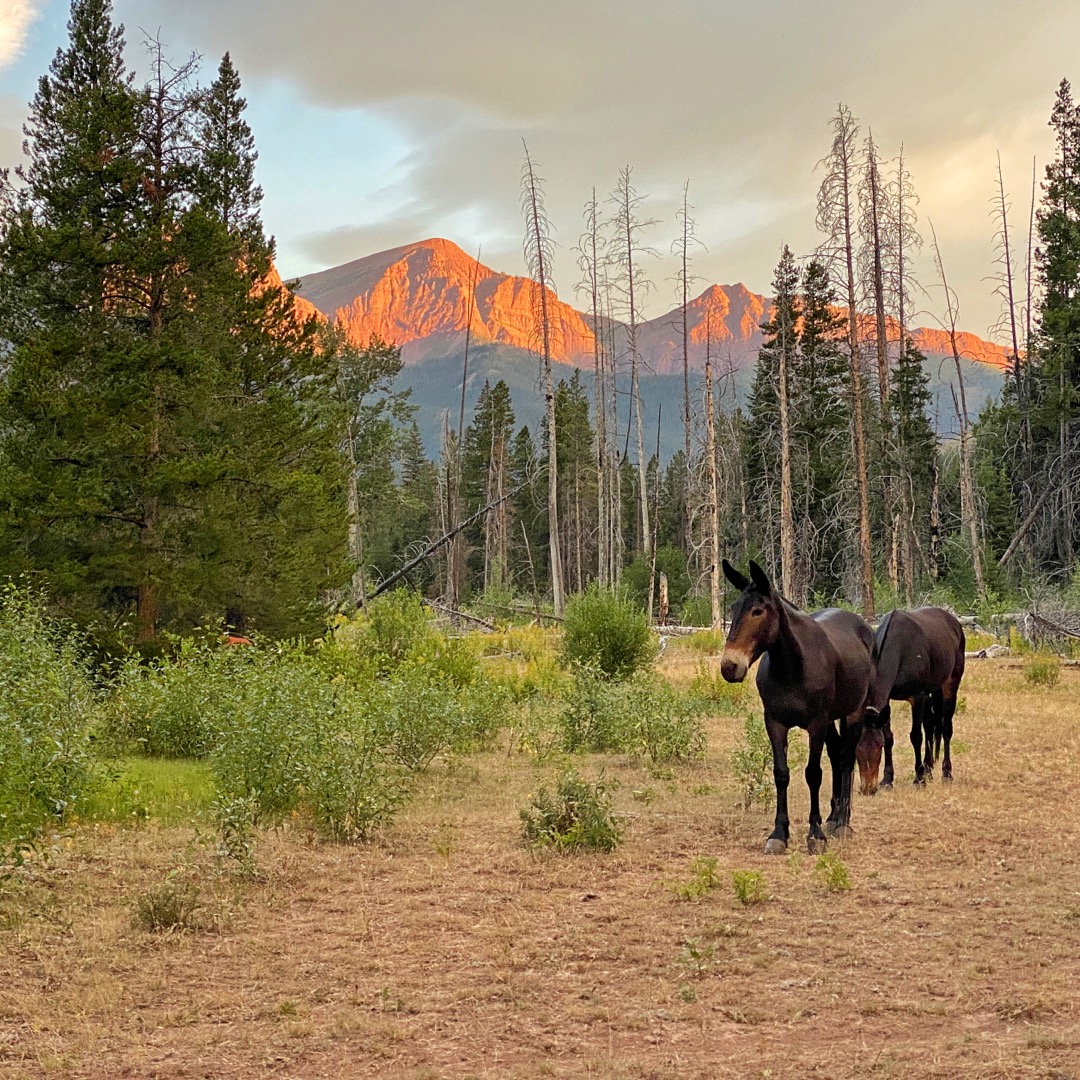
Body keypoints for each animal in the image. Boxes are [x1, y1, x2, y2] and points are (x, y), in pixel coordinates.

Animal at [717, 561, 876, 855]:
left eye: (758, 611)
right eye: (733, 608)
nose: (730, 666)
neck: (791, 667)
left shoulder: (815, 723)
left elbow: (813, 774)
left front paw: (815, 834)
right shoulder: (775, 723)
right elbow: (781, 774)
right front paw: (779, 833)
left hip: (853, 712)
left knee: (847, 758)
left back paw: (843, 822)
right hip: (831, 720)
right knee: (837, 756)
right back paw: (832, 817)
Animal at [855, 609, 967, 794]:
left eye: (878, 746)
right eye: (855, 747)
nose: (867, 788)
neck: (898, 650)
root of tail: (954, 622)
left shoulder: (917, 697)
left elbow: (916, 736)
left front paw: (919, 779)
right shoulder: (887, 700)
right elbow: (890, 737)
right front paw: (887, 779)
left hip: (951, 684)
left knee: (945, 728)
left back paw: (946, 773)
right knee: (930, 725)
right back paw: (928, 769)